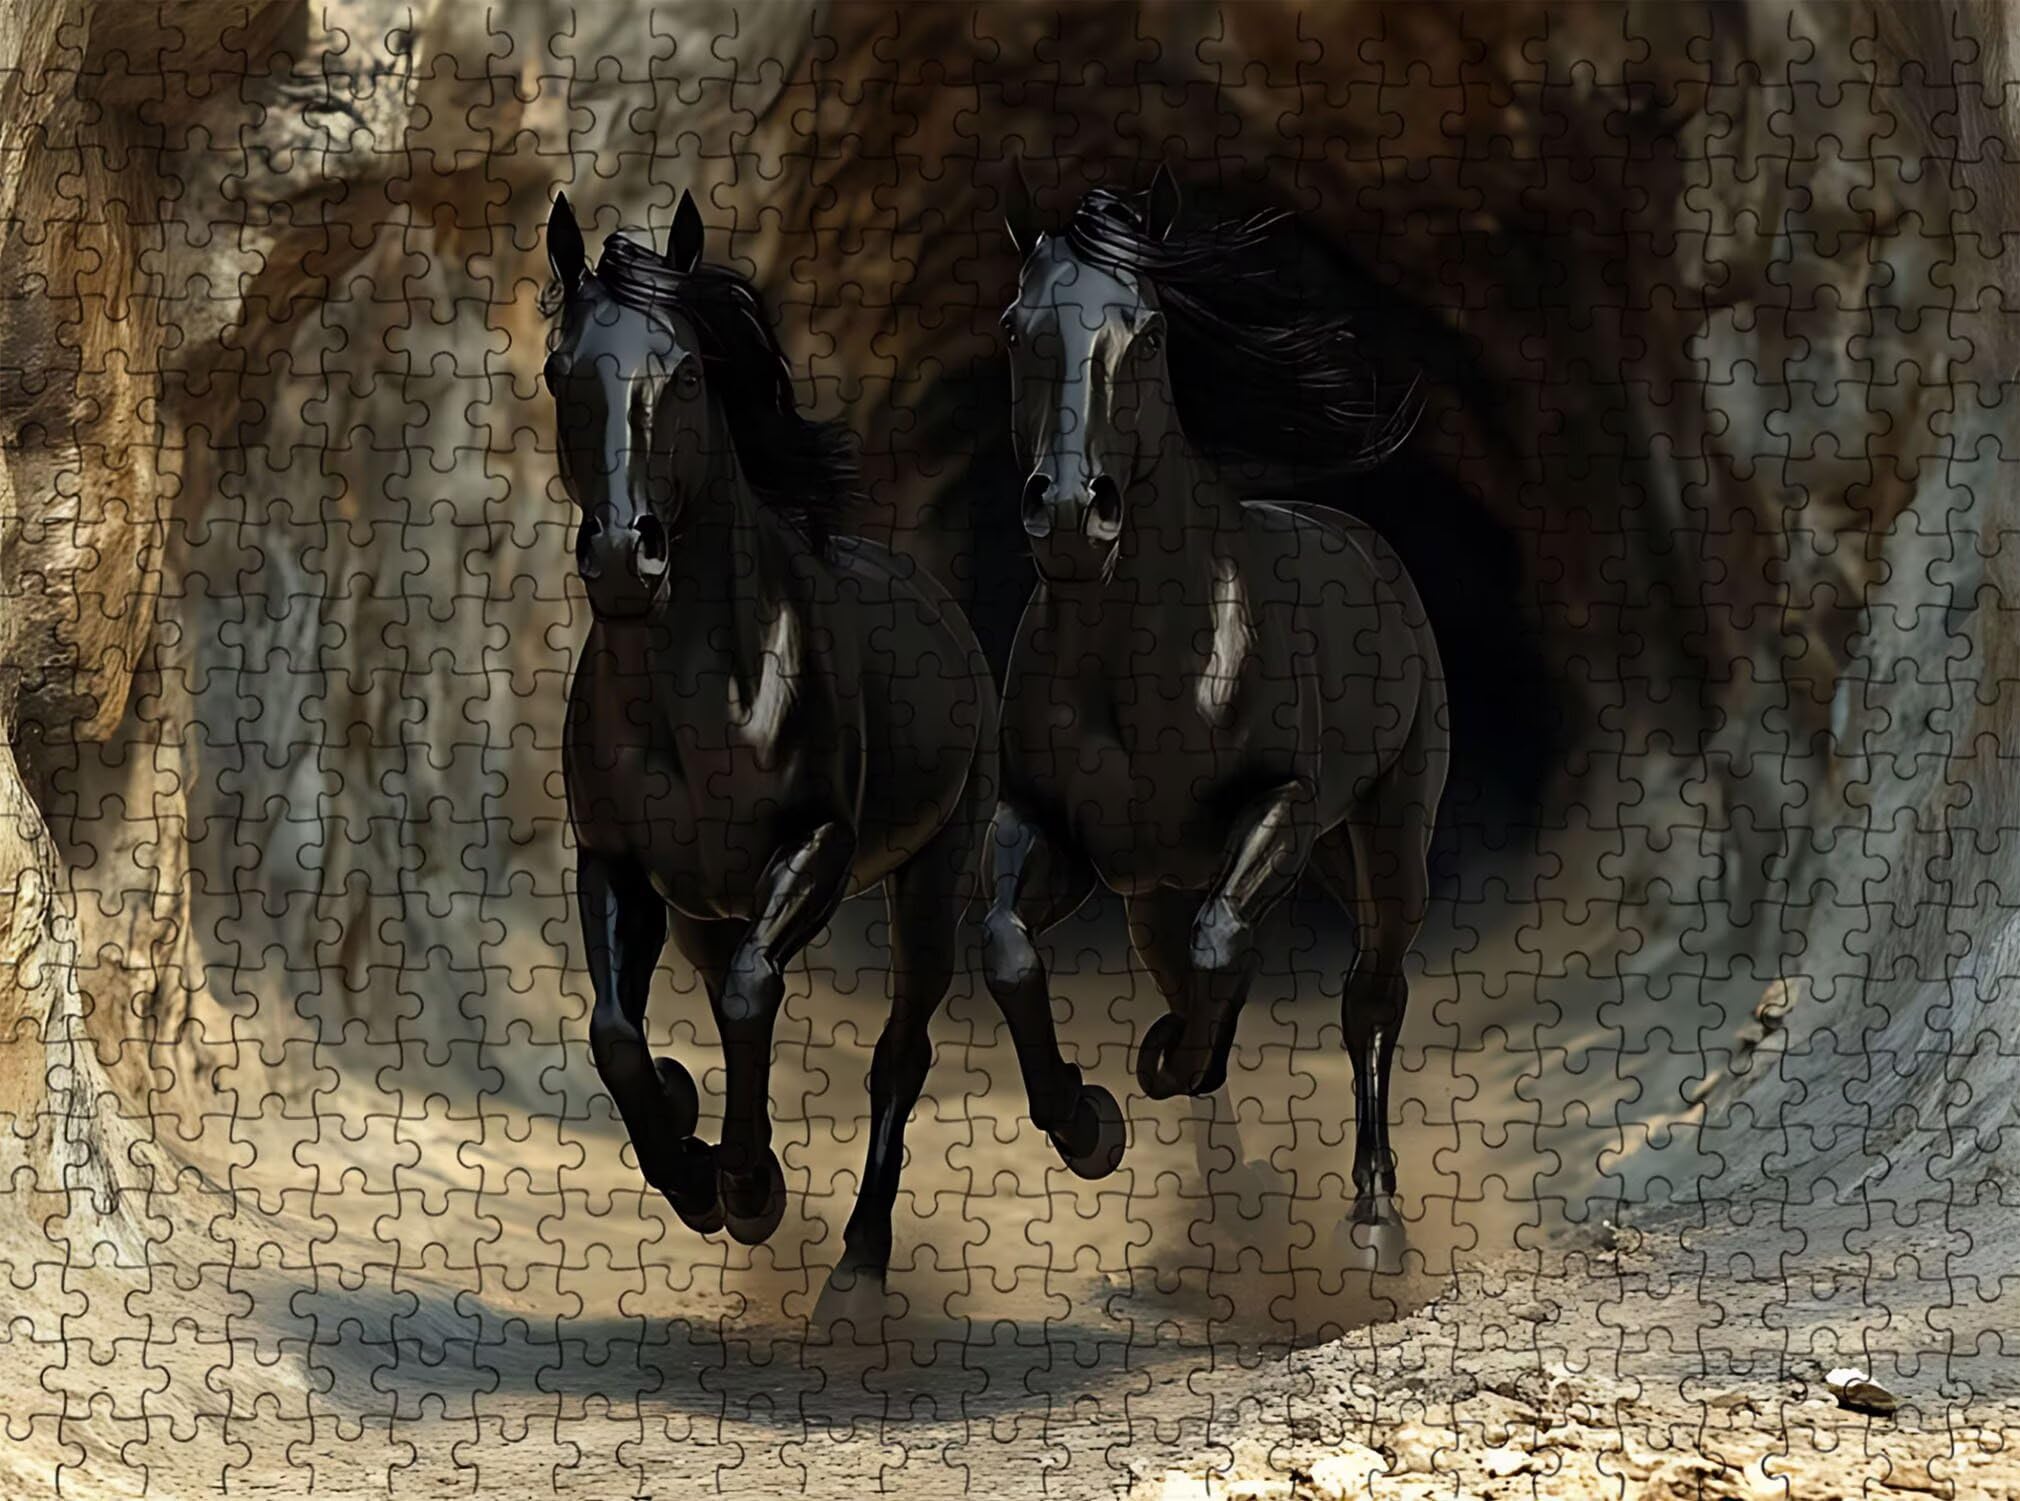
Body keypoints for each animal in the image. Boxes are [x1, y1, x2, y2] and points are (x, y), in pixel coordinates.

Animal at [543, 189, 999, 1285]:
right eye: (558, 370)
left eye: (687, 370)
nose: (622, 557)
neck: (699, 702)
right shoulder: (617, 864)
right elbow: (617, 1034)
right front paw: (690, 1165)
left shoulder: (819, 846)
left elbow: (756, 997)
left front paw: (749, 1190)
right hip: (703, 910)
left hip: (934, 872)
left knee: (899, 1050)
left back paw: (857, 1270)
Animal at [982, 167, 1450, 1228]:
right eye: (1018, 328)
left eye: (1149, 332)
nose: (1069, 515)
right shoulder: (1062, 831)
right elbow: (1009, 947)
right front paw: (1092, 1122)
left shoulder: (1282, 807)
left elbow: (1220, 946)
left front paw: (1163, 1063)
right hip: (1206, 875)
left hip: (1386, 833)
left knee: (1373, 990)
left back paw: (1375, 1210)